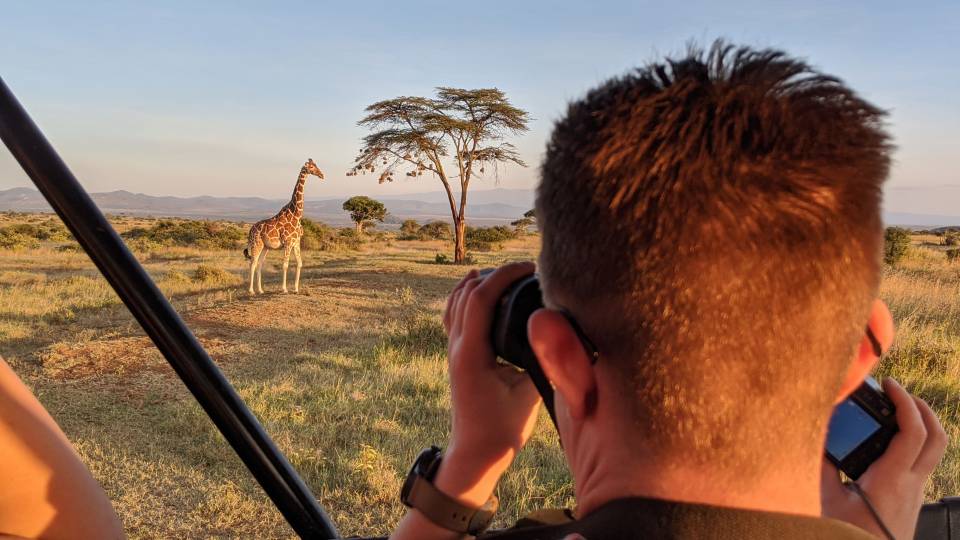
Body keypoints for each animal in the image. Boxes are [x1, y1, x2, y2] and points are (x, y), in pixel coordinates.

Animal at [243, 159, 324, 294]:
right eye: (312, 167)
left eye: (316, 165)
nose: (322, 175)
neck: (296, 214)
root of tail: (250, 230)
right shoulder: (288, 242)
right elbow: (285, 265)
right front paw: (284, 289)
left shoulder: (296, 242)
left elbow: (299, 263)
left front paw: (296, 289)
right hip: (256, 244)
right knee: (252, 263)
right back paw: (251, 291)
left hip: (265, 247)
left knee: (259, 264)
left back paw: (260, 290)